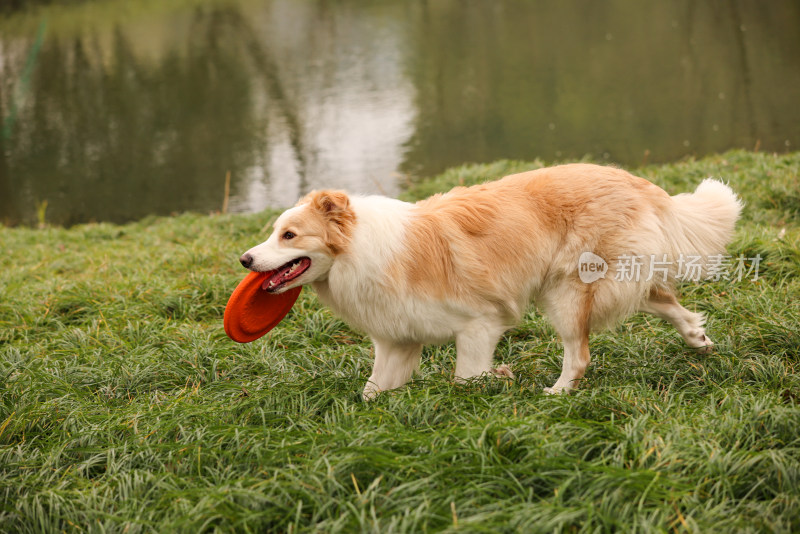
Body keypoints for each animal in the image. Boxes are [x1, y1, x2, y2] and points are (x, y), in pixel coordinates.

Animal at [239, 165, 744, 400]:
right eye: (272, 232)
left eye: (289, 235)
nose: (245, 259)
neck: (360, 248)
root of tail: (640, 184)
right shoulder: (397, 341)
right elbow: (371, 391)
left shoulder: (479, 325)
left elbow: (465, 379)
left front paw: (495, 382)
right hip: (608, 281)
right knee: (662, 297)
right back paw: (697, 338)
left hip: (565, 293)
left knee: (580, 354)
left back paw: (557, 393)